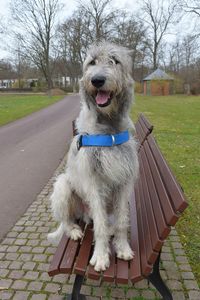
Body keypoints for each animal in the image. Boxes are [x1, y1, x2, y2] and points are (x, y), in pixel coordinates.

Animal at [48, 41, 139, 272]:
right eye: (92, 62)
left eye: (114, 60)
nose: (97, 80)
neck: (109, 129)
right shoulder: (93, 182)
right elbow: (100, 225)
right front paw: (100, 255)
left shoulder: (124, 182)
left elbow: (122, 220)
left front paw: (122, 247)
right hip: (63, 186)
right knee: (67, 220)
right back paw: (73, 230)